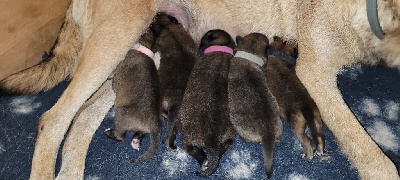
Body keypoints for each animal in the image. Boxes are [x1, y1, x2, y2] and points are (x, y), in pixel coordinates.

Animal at [179, 28, 238, 176]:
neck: (221, 47)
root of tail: (212, 141)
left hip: (188, 137)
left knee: (193, 150)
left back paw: (203, 160)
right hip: (229, 134)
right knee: (225, 146)